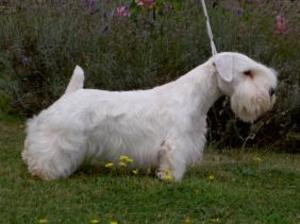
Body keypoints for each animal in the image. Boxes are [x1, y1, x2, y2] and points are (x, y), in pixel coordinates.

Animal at [22, 52, 278, 180]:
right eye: (247, 72)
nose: (272, 91)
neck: (195, 95)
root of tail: (72, 92)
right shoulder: (175, 142)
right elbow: (172, 161)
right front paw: (169, 178)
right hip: (61, 136)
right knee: (46, 153)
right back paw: (43, 172)